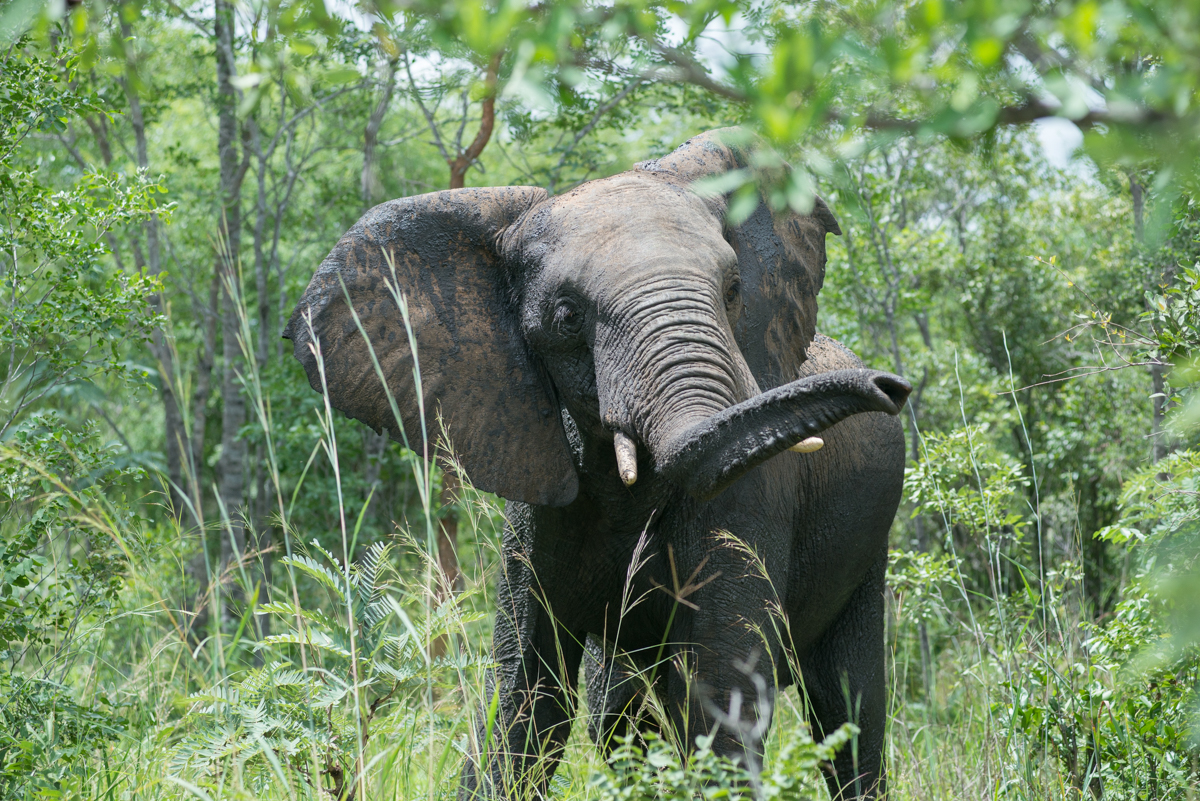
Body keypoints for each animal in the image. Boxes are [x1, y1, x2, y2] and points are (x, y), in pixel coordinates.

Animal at [283, 128, 907, 796]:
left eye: (734, 290)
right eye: (565, 316)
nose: (889, 387)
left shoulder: (753, 493)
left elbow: (720, 690)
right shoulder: (537, 494)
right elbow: (524, 693)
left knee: (848, 707)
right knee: (618, 712)